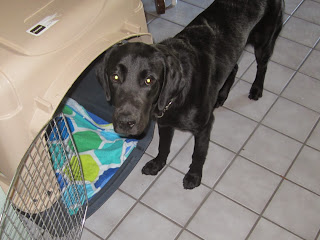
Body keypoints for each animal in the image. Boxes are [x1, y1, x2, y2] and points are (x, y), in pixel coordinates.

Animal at [96, 0, 284, 189]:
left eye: (149, 80)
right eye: (115, 77)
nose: (125, 123)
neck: (176, 98)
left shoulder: (204, 127)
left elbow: (198, 154)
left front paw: (193, 175)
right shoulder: (164, 123)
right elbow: (163, 146)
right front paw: (157, 164)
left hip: (264, 42)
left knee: (262, 65)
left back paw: (256, 88)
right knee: (234, 68)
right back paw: (221, 95)